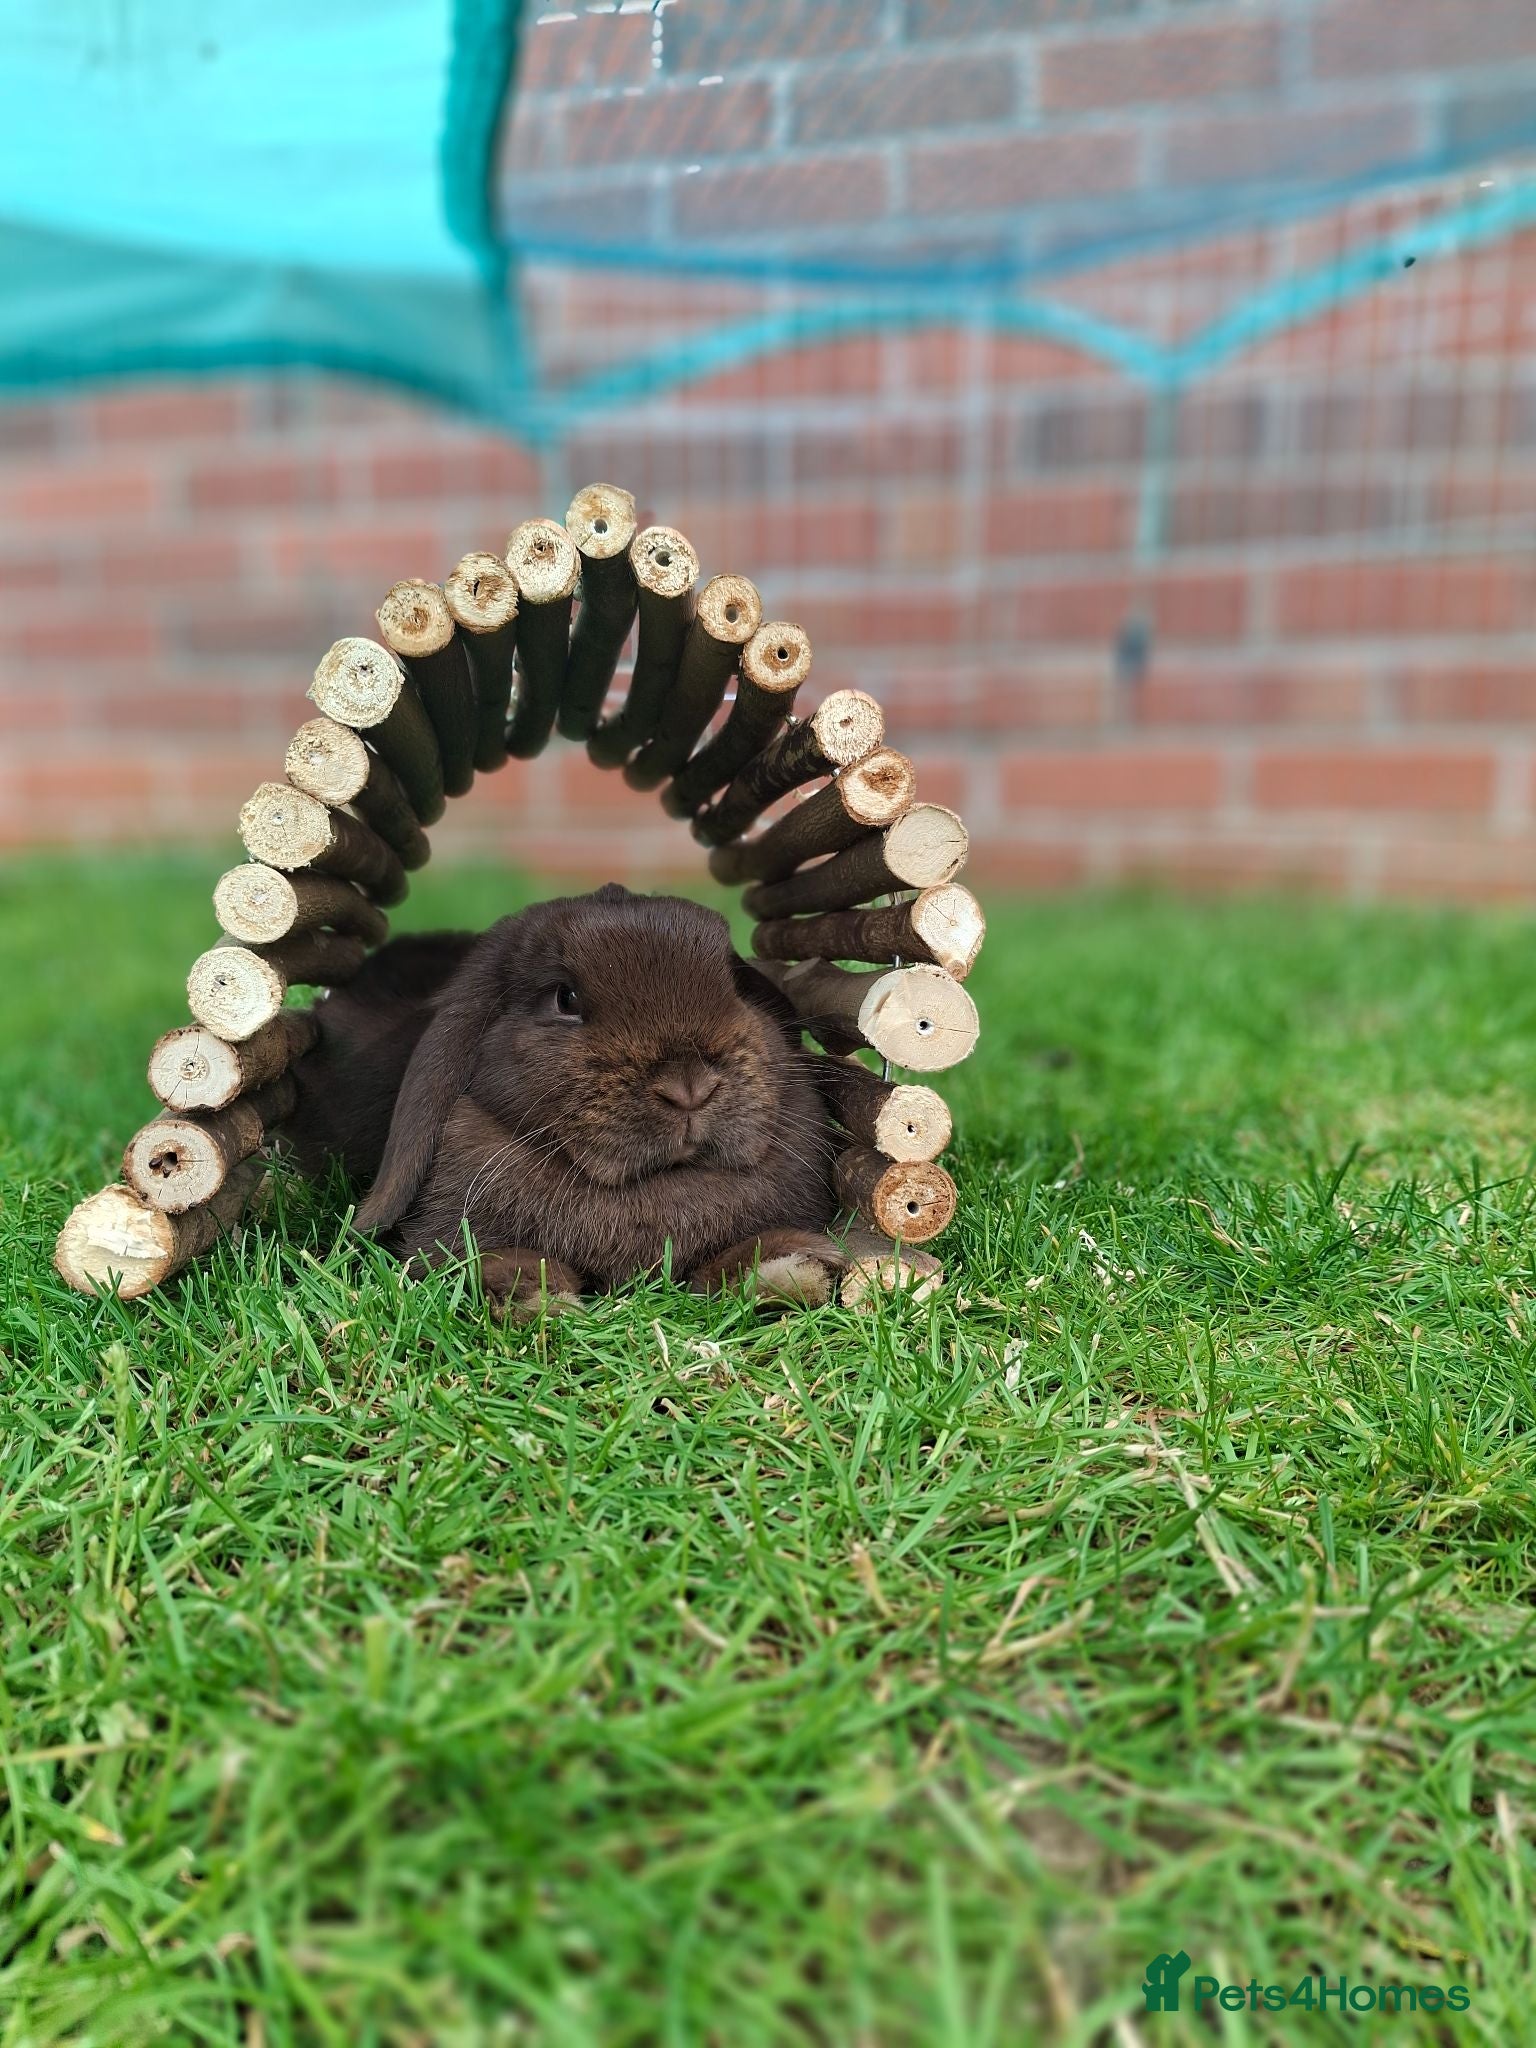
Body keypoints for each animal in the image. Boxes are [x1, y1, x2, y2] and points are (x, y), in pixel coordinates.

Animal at [285, 886, 844, 1311]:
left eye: (735, 984)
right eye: (565, 998)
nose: (689, 1088)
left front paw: (793, 1270)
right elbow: (498, 1263)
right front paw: (537, 1300)